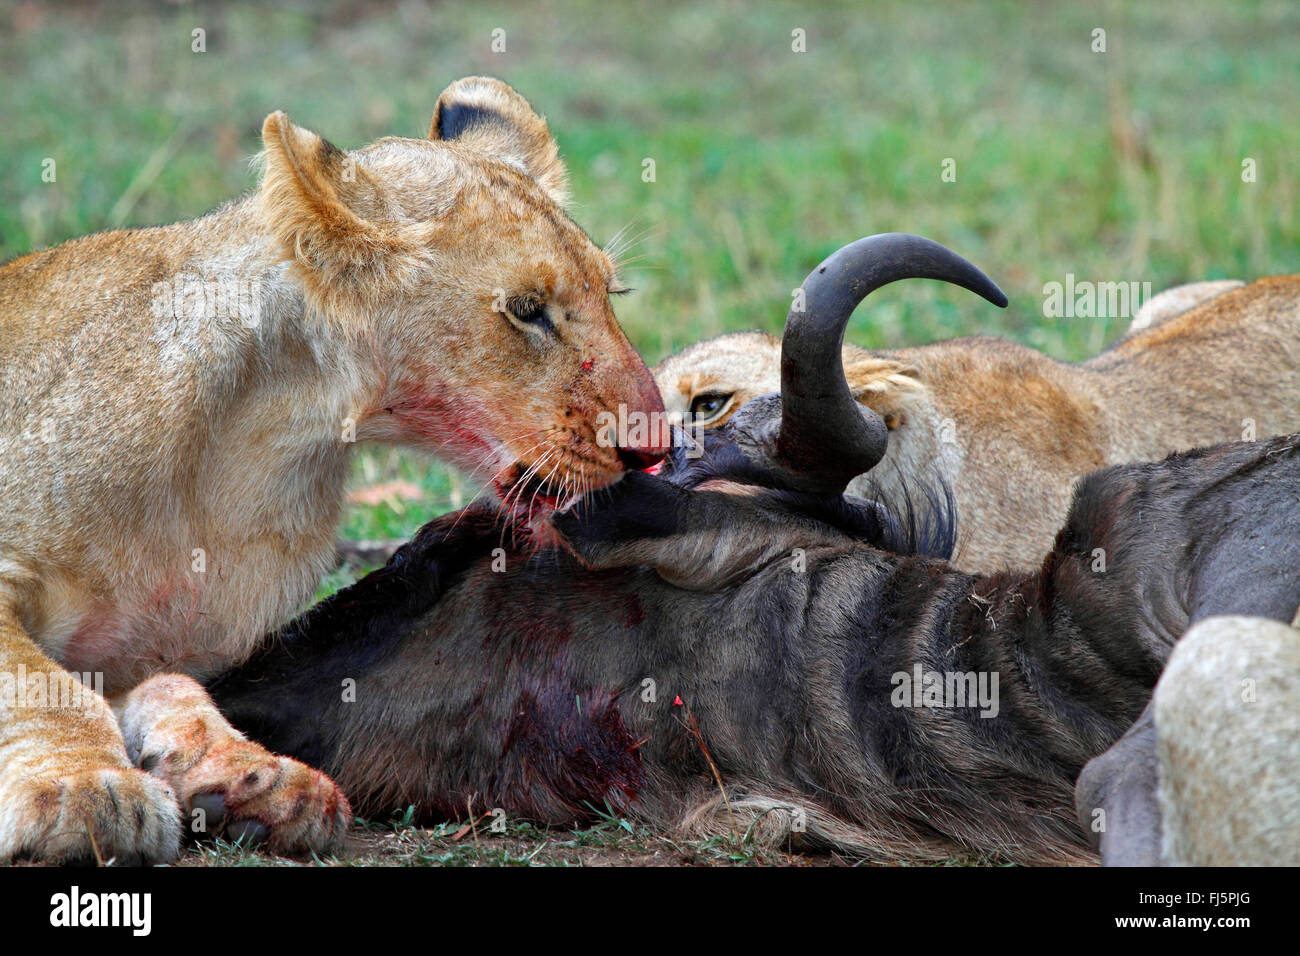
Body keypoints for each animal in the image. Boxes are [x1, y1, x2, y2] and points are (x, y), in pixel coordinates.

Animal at [0, 76, 666, 864]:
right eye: (527, 310)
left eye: (611, 294)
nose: (656, 443)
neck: (262, 444)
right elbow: (38, 682)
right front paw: (85, 789)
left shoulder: (159, 654)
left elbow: (169, 686)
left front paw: (249, 777)